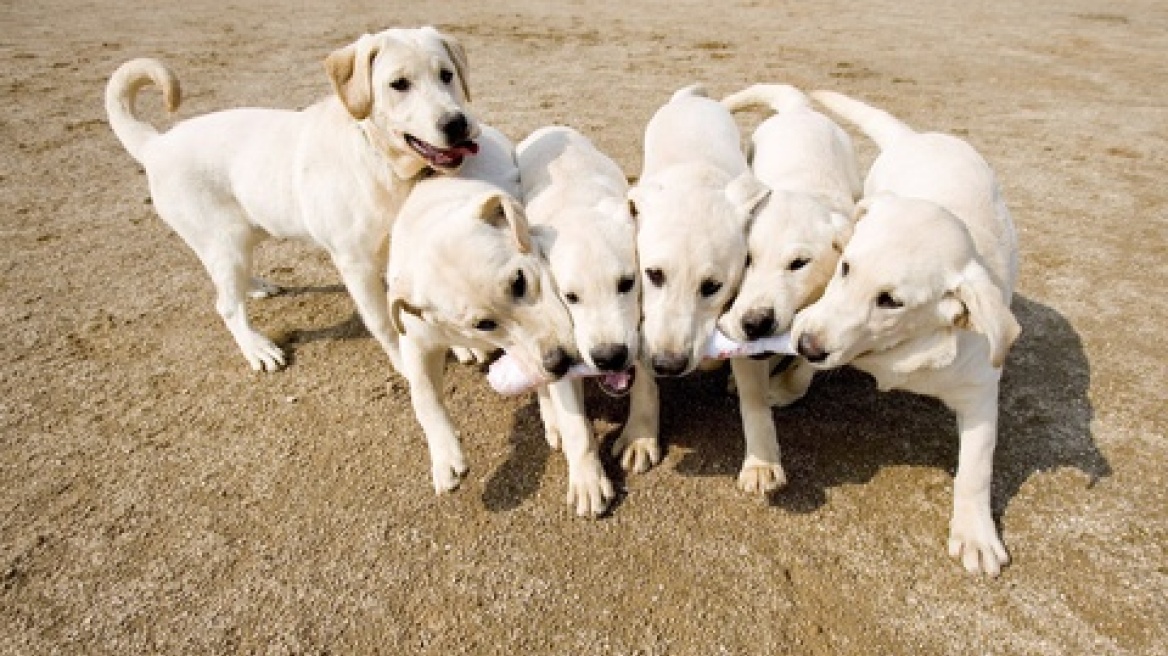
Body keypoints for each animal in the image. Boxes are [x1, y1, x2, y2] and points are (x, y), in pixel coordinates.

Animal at [105, 26, 476, 373]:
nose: (457, 123)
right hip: (225, 243)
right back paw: (257, 348)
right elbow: (383, 323)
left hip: (245, 235)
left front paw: (459, 345)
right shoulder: (355, 263)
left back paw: (255, 287)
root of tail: (156, 143)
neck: (385, 165)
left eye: (446, 74)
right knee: (226, 305)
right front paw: (406, 362)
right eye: (399, 84)